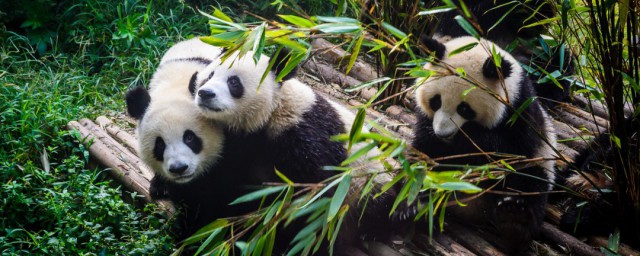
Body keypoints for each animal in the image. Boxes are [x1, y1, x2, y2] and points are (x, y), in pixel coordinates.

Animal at [192, 49, 398, 252]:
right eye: (209, 75)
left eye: (234, 82)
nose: (205, 93)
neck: (273, 111)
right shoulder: (239, 146)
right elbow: (226, 187)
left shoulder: (306, 135)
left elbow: (315, 198)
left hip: (368, 179)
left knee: (383, 203)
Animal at [410, 35, 556, 252]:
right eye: (436, 101)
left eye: (464, 108)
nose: (443, 133)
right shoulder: (426, 122)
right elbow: (424, 149)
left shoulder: (522, 112)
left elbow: (507, 151)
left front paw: (469, 138)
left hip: (539, 165)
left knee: (531, 183)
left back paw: (514, 220)